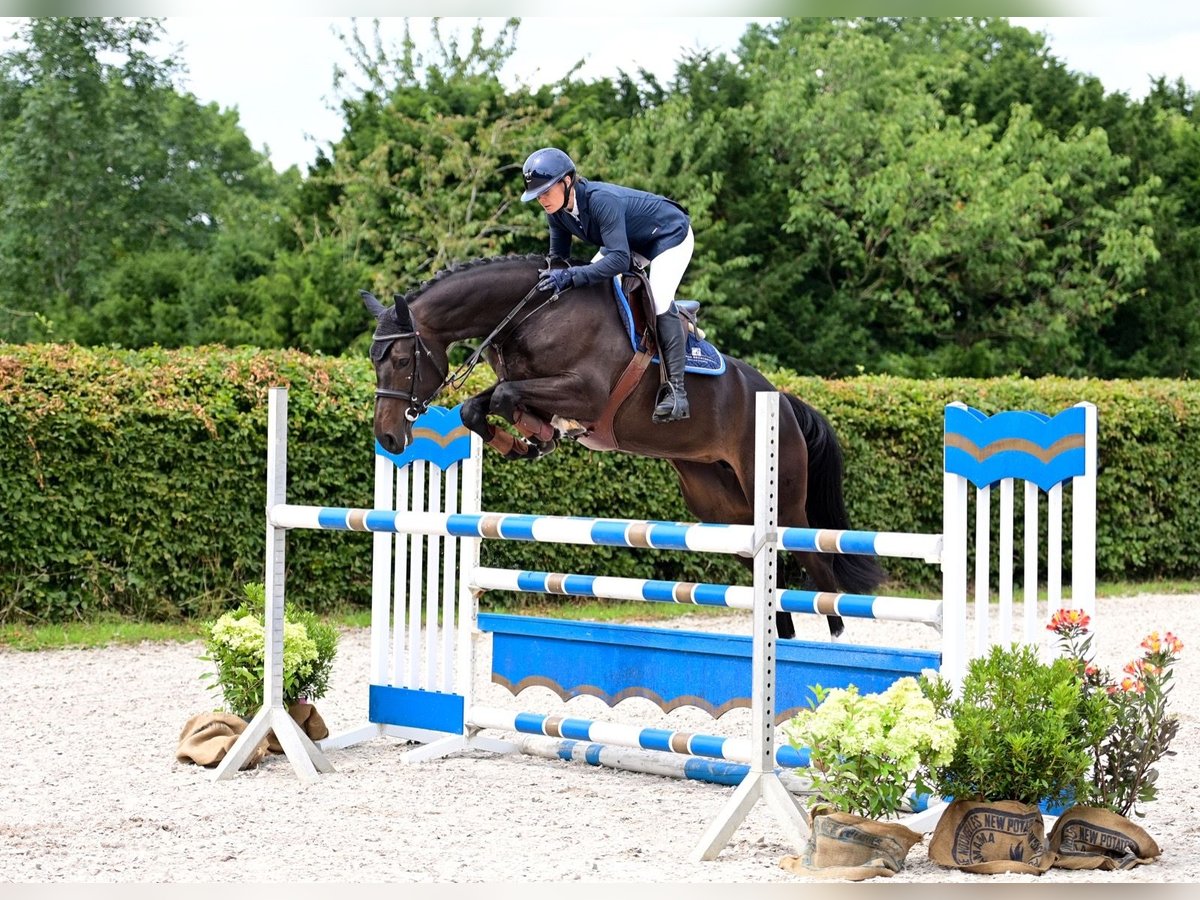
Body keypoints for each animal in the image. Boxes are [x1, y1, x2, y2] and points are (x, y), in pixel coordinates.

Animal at [360, 252, 888, 643]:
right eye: (374, 360)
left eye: (402, 359)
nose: (388, 438)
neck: (534, 312)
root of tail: (781, 397)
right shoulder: (526, 384)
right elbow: (478, 406)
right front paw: (526, 441)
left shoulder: (584, 391)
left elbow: (508, 397)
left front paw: (541, 435)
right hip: (723, 508)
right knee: (771, 577)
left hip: (783, 499)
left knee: (818, 567)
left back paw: (834, 640)